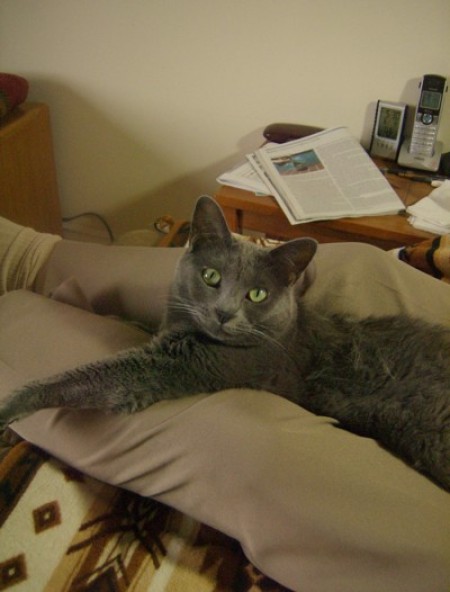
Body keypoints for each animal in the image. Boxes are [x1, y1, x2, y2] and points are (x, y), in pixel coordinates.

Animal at [0, 197, 450, 492]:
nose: (224, 312)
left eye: (257, 295)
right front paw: (115, 318)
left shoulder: (172, 365)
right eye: (211, 276)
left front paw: (11, 406)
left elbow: (93, 376)